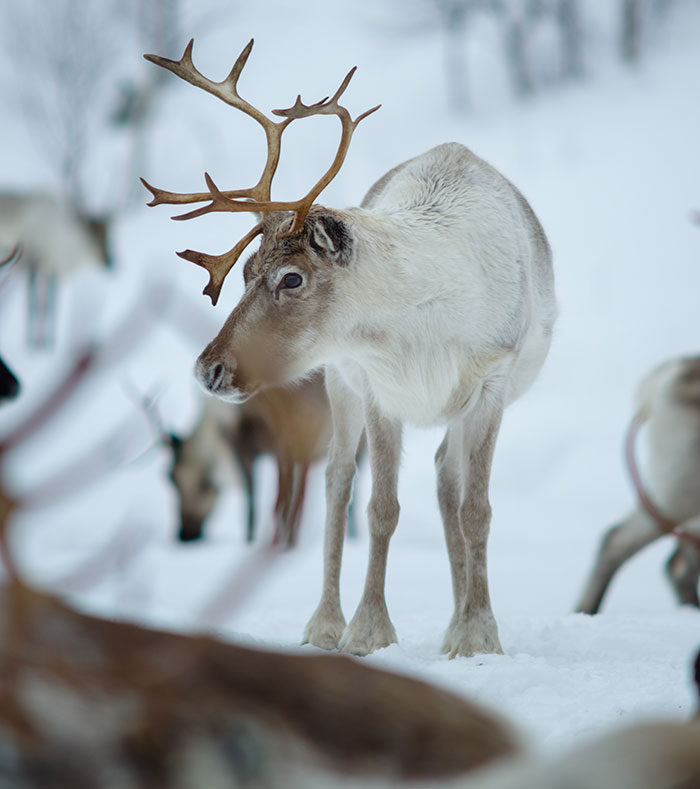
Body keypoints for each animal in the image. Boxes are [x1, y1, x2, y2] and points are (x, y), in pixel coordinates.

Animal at [0, 193, 111, 347]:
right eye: (92, 237)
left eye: (108, 236)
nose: (111, 262)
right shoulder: (35, 263)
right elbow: (34, 304)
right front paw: (34, 343)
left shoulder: (52, 269)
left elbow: (51, 304)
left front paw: (47, 342)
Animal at [142, 39, 557, 658]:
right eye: (244, 270)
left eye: (291, 278)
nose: (208, 369)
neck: (423, 319)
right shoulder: (378, 385)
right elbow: (380, 508)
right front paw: (368, 631)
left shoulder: (491, 385)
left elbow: (477, 510)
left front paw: (479, 635)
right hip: (340, 384)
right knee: (338, 483)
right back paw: (325, 624)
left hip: (451, 409)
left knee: (446, 482)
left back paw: (452, 622)